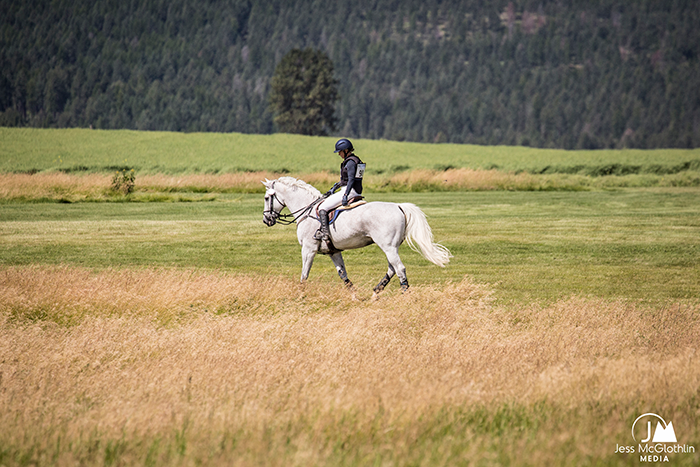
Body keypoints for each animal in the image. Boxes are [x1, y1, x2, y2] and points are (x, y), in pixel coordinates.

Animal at [262, 176, 454, 292]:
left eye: (266, 198)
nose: (266, 220)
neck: (307, 209)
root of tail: (399, 206)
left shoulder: (308, 250)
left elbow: (304, 275)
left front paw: (301, 295)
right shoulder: (333, 251)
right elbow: (343, 275)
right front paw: (355, 297)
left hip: (388, 247)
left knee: (399, 269)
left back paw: (403, 294)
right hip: (392, 247)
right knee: (392, 269)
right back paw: (375, 293)